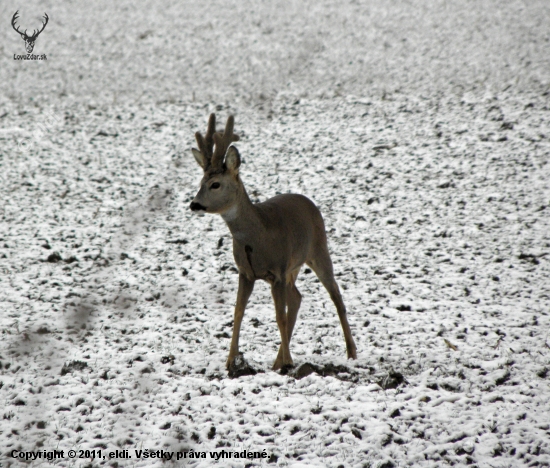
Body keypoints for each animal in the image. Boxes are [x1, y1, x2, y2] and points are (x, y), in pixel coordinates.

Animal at [192, 113, 360, 370]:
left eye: (215, 184)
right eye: (200, 181)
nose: (194, 204)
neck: (256, 237)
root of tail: (308, 201)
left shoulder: (278, 271)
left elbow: (279, 316)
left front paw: (289, 362)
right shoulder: (246, 272)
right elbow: (238, 312)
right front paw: (231, 360)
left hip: (318, 250)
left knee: (336, 296)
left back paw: (351, 353)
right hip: (294, 267)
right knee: (298, 298)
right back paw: (276, 361)